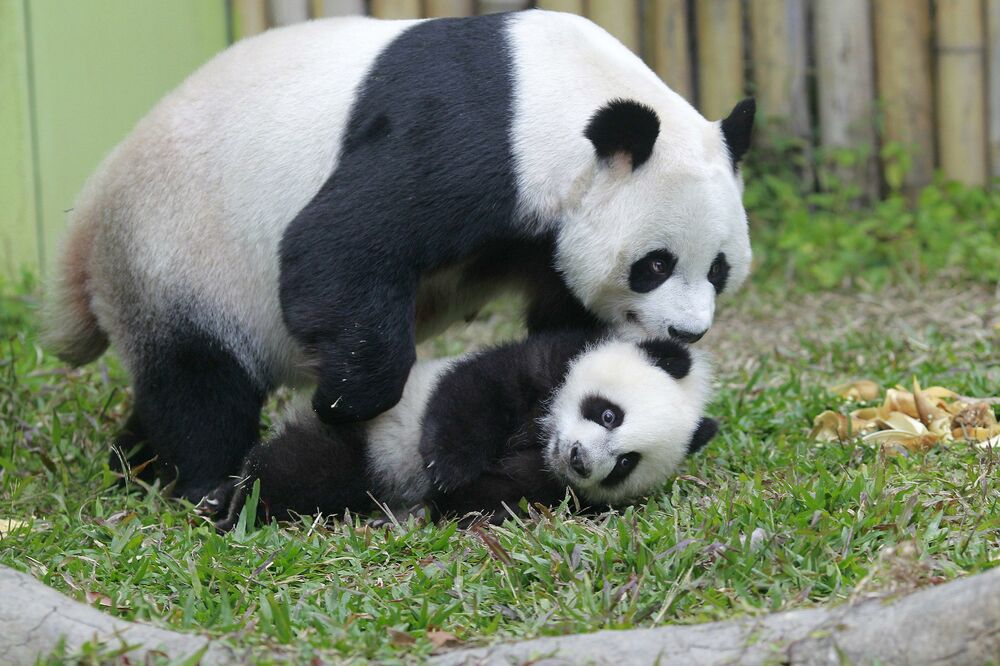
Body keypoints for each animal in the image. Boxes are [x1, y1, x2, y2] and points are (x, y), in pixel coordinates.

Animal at [42, 10, 753, 504]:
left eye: (719, 269)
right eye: (655, 264)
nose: (688, 332)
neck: (555, 89)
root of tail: (90, 220)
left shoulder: (543, 229)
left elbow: (561, 319)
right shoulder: (470, 137)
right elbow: (340, 241)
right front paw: (345, 403)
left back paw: (132, 463)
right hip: (177, 250)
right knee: (198, 379)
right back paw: (203, 480)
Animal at [214, 331, 717, 530]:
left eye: (625, 463)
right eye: (609, 415)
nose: (579, 459)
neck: (542, 439)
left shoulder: (550, 484)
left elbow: (497, 494)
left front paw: (440, 502)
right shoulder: (546, 359)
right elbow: (472, 394)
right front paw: (449, 467)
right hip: (363, 436)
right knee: (296, 470)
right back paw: (235, 501)